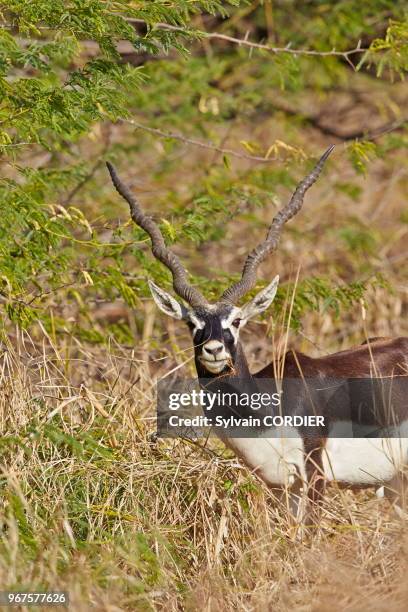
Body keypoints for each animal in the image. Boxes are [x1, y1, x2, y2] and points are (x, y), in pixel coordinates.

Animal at [106, 148, 408, 516]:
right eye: (192, 324)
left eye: (236, 321)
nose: (214, 351)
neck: (266, 413)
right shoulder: (281, 488)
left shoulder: (316, 477)